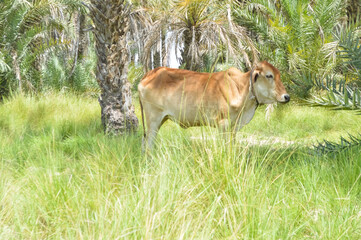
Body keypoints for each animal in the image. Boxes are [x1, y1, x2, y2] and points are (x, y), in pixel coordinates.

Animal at [138, 60, 290, 148]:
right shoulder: (223, 124)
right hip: (153, 120)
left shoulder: (233, 127)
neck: (241, 87)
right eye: (269, 75)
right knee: (148, 143)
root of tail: (150, 74)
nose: (286, 96)